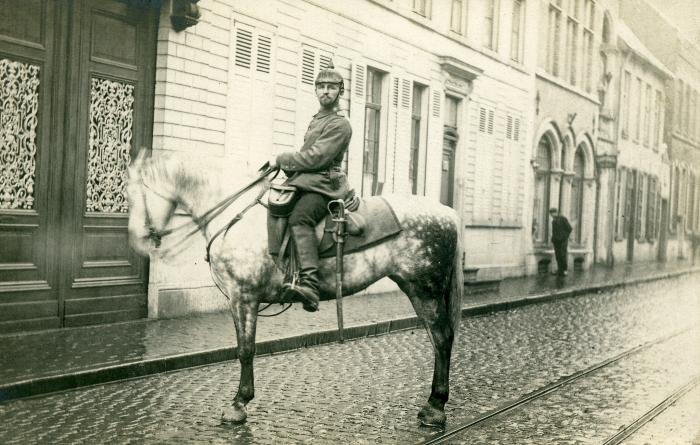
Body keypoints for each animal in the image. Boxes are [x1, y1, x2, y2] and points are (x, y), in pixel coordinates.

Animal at [127, 152, 464, 426]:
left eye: (133, 194)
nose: (137, 241)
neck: (233, 216)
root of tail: (449, 212)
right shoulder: (241, 299)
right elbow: (245, 348)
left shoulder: (243, 296)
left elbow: (245, 349)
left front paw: (238, 405)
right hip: (417, 289)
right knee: (438, 339)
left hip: (425, 289)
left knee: (442, 338)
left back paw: (435, 408)